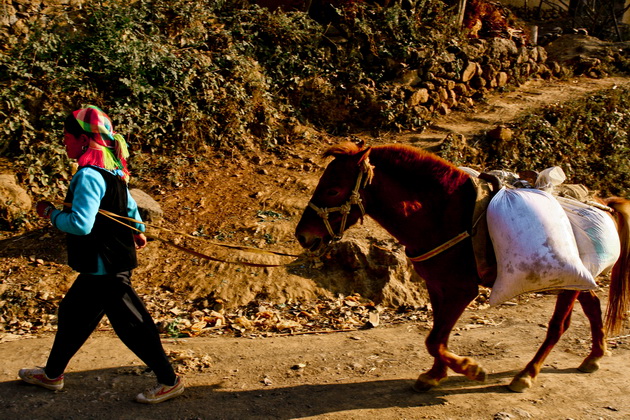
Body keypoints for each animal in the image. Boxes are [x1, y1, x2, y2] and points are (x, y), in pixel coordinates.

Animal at [296, 143, 630, 392]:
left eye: (333, 190)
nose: (302, 235)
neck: (440, 213)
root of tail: (605, 204)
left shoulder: (462, 289)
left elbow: (435, 339)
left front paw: (470, 368)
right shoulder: (436, 286)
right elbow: (438, 333)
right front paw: (435, 374)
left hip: (569, 282)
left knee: (558, 326)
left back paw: (527, 374)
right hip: (576, 282)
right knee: (593, 305)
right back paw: (595, 356)